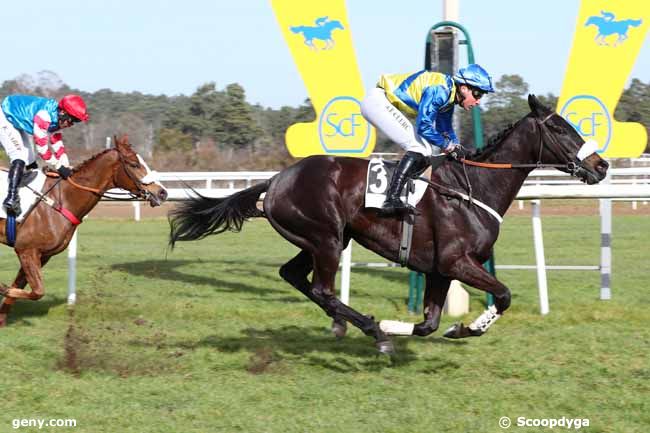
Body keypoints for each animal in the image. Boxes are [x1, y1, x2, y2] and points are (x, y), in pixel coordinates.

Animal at [0, 135, 167, 324]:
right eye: (134, 164)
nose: (162, 193)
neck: (63, 199)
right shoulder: (26, 249)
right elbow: (37, 291)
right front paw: (2, 288)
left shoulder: (42, 255)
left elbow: (22, 288)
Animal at [167, 94, 608, 352]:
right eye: (560, 127)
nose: (601, 165)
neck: (474, 186)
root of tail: (275, 180)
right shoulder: (455, 262)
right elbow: (503, 295)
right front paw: (459, 329)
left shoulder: (438, 269)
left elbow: (429, 323)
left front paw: (428, 327)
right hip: (326, 239)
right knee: (323, 289)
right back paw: (372, 332)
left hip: (323, 240)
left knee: (296, 277)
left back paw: (354, 326)